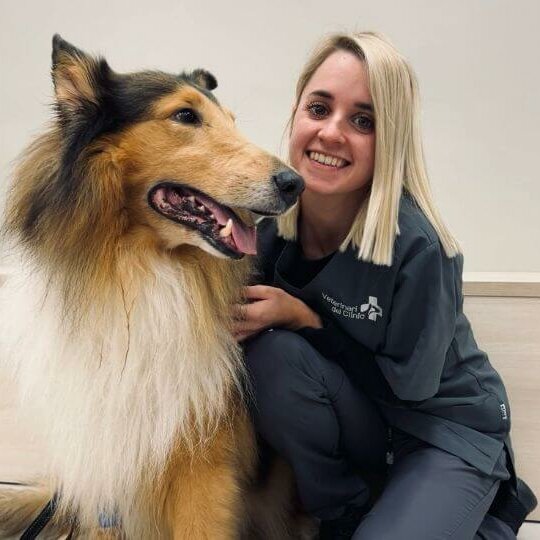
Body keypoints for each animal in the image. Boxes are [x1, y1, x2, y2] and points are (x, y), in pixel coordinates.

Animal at [0, 35, 304, 536]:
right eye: (185, 116)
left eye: (232, 121)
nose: (295, 183)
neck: (140, 274)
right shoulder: (106, 470)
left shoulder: (203, 469)